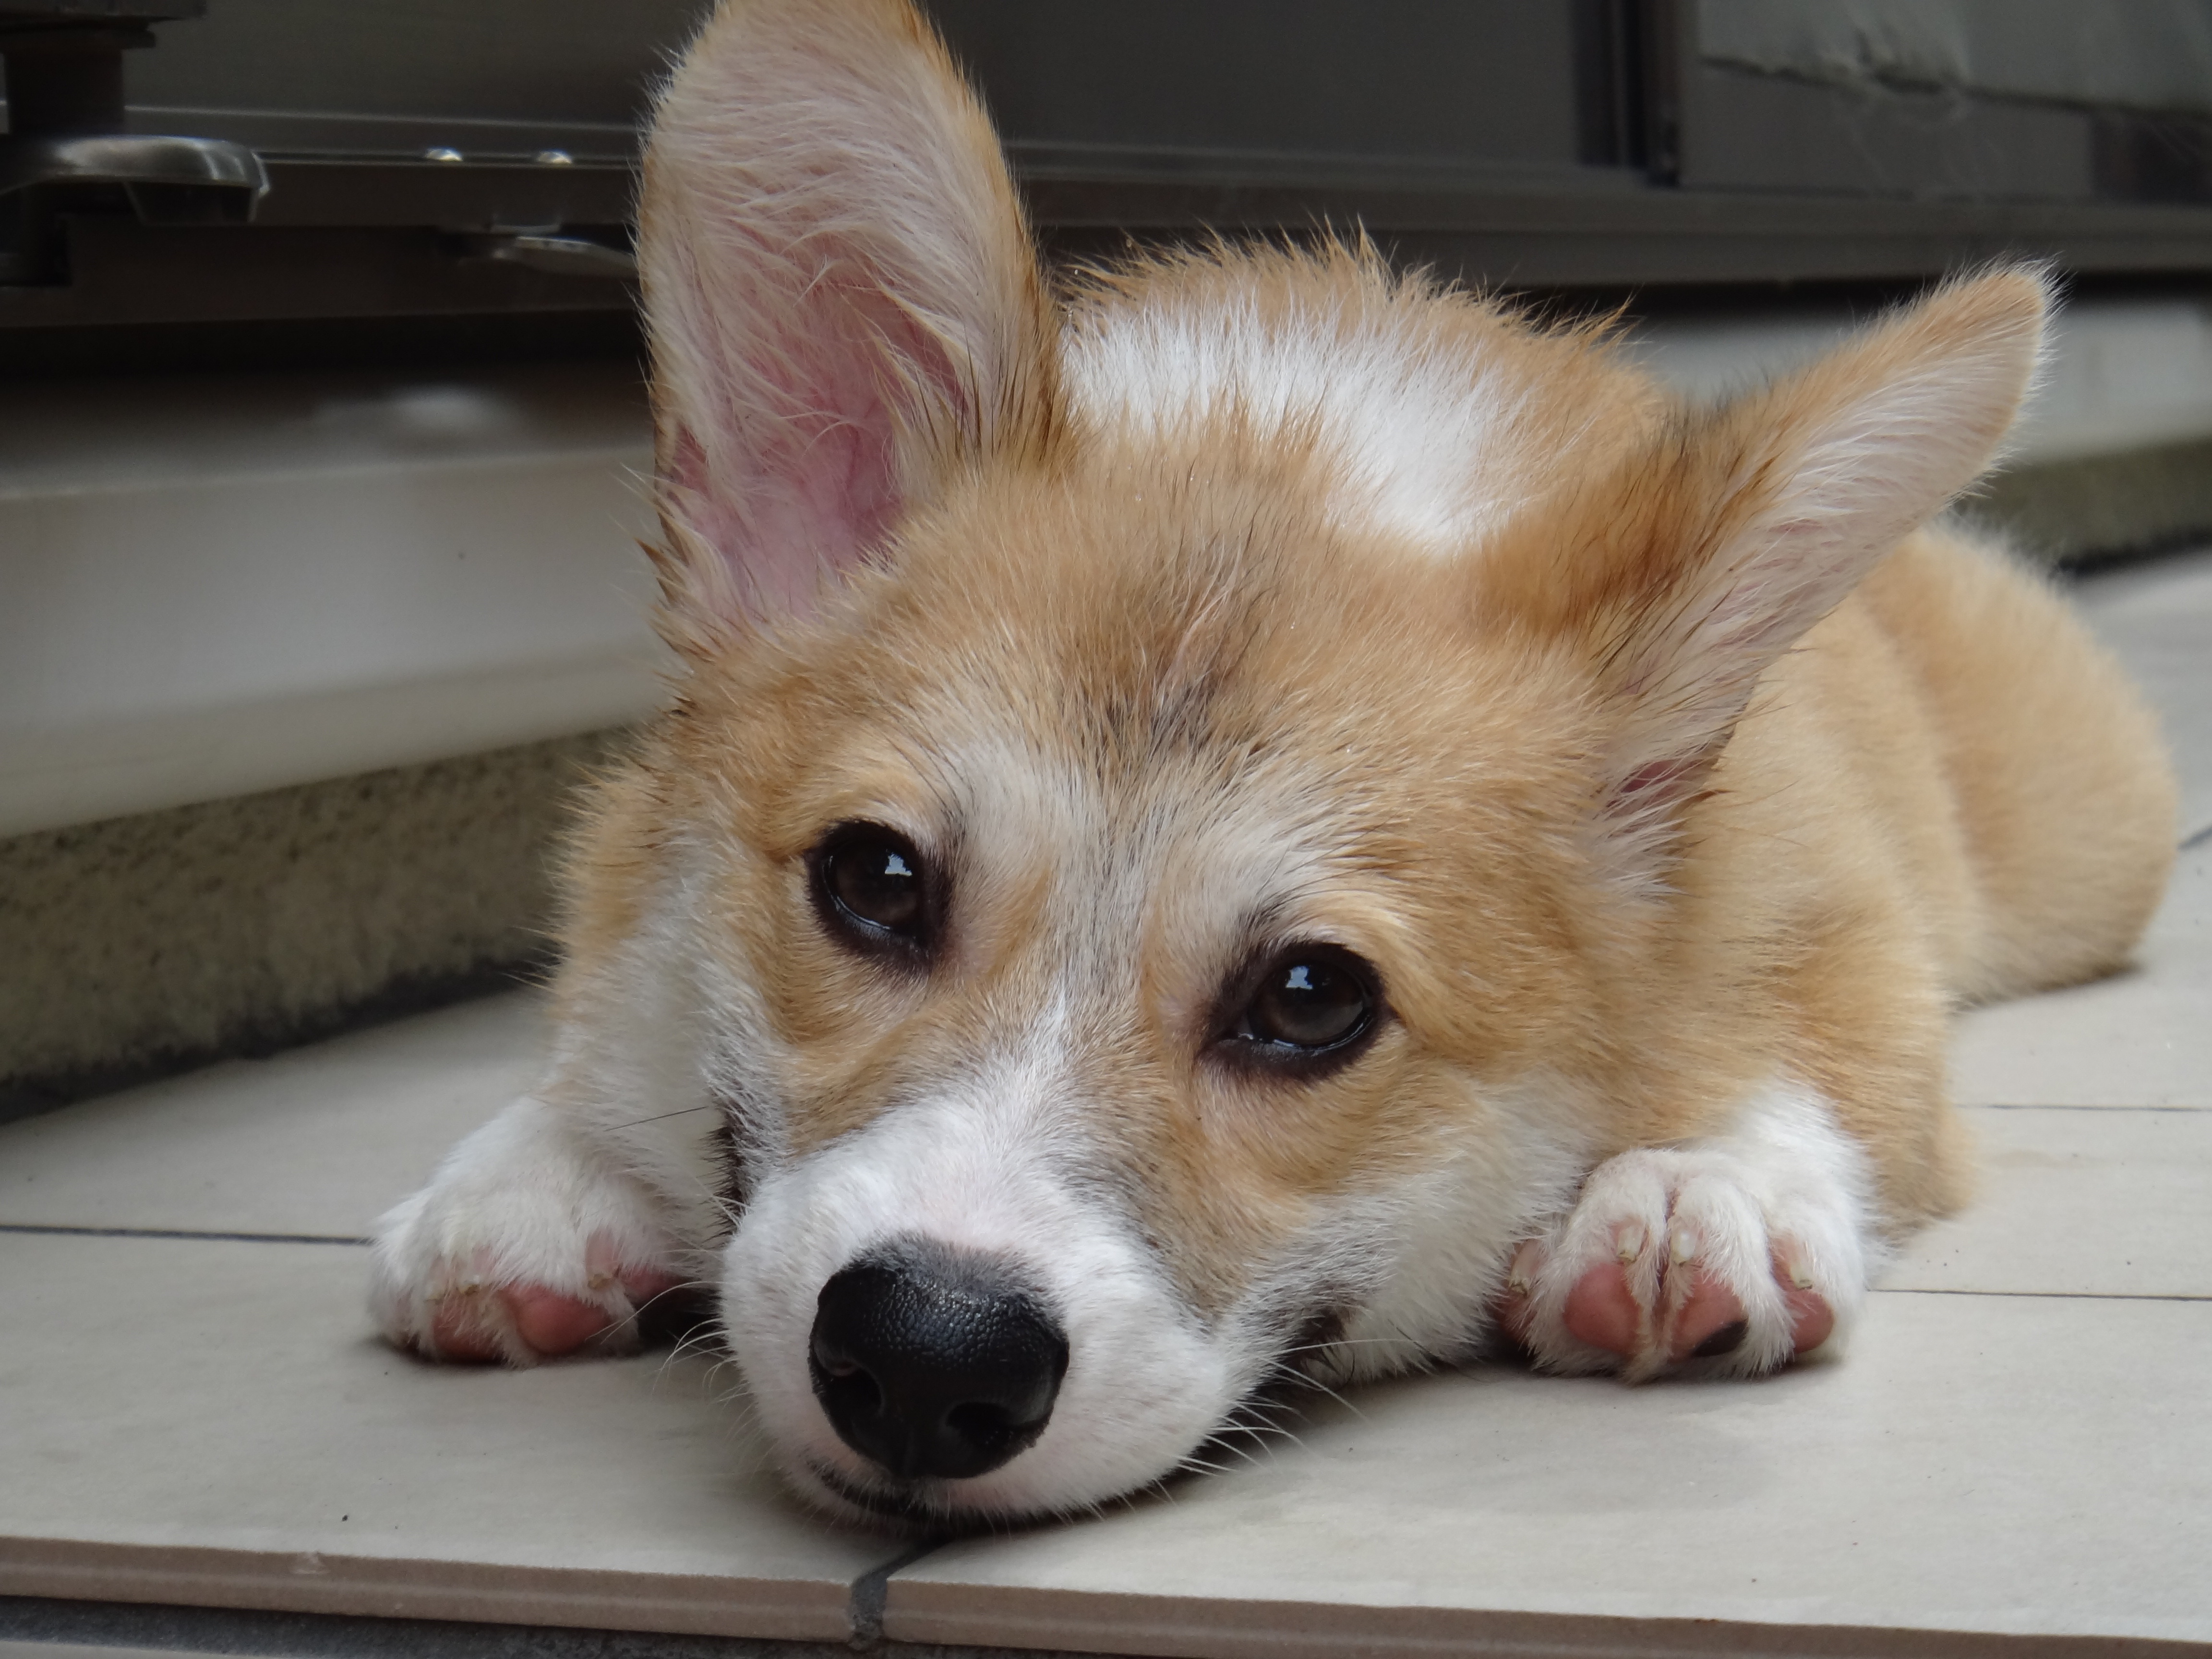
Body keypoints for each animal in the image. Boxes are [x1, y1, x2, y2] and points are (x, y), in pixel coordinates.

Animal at [367, 0, 2176, 1530]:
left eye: (1312, 999)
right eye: (871, 878)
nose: (926, 1358)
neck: (1289, 441)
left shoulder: (1840, 909)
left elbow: (1821, 1052)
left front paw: (1688, 1192)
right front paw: (529, 1178)